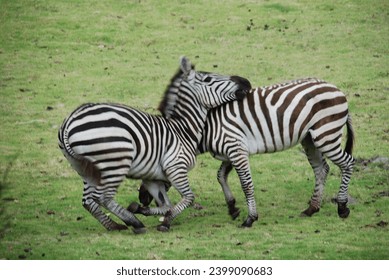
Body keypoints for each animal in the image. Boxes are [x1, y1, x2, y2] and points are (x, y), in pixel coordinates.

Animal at [57, 56, 252, 232]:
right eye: (208, 79)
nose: (246, 81)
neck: (183, 130)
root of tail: (70, 122)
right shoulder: (176, 167)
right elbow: (189, 198)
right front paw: (165, 222)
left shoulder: (152, 178)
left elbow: (166, 204)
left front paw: (150, 211)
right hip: (115, 163)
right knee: (102, 198)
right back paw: (133, 223)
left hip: (86, 169)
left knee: (88, 201)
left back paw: (114, 225)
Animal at [130, 76, 354, 228]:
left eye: (152, 172)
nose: (141, 200)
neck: (203, 128)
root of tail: (337, 89)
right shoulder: (231, 151)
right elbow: (220, 176)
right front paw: (232, 207)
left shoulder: (236, 149)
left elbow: (246, 184)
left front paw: (250, 218)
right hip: (310, 139)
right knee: (322, 169)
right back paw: (311, 208)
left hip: (326, 134)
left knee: (347, 163)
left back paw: (342, 207)